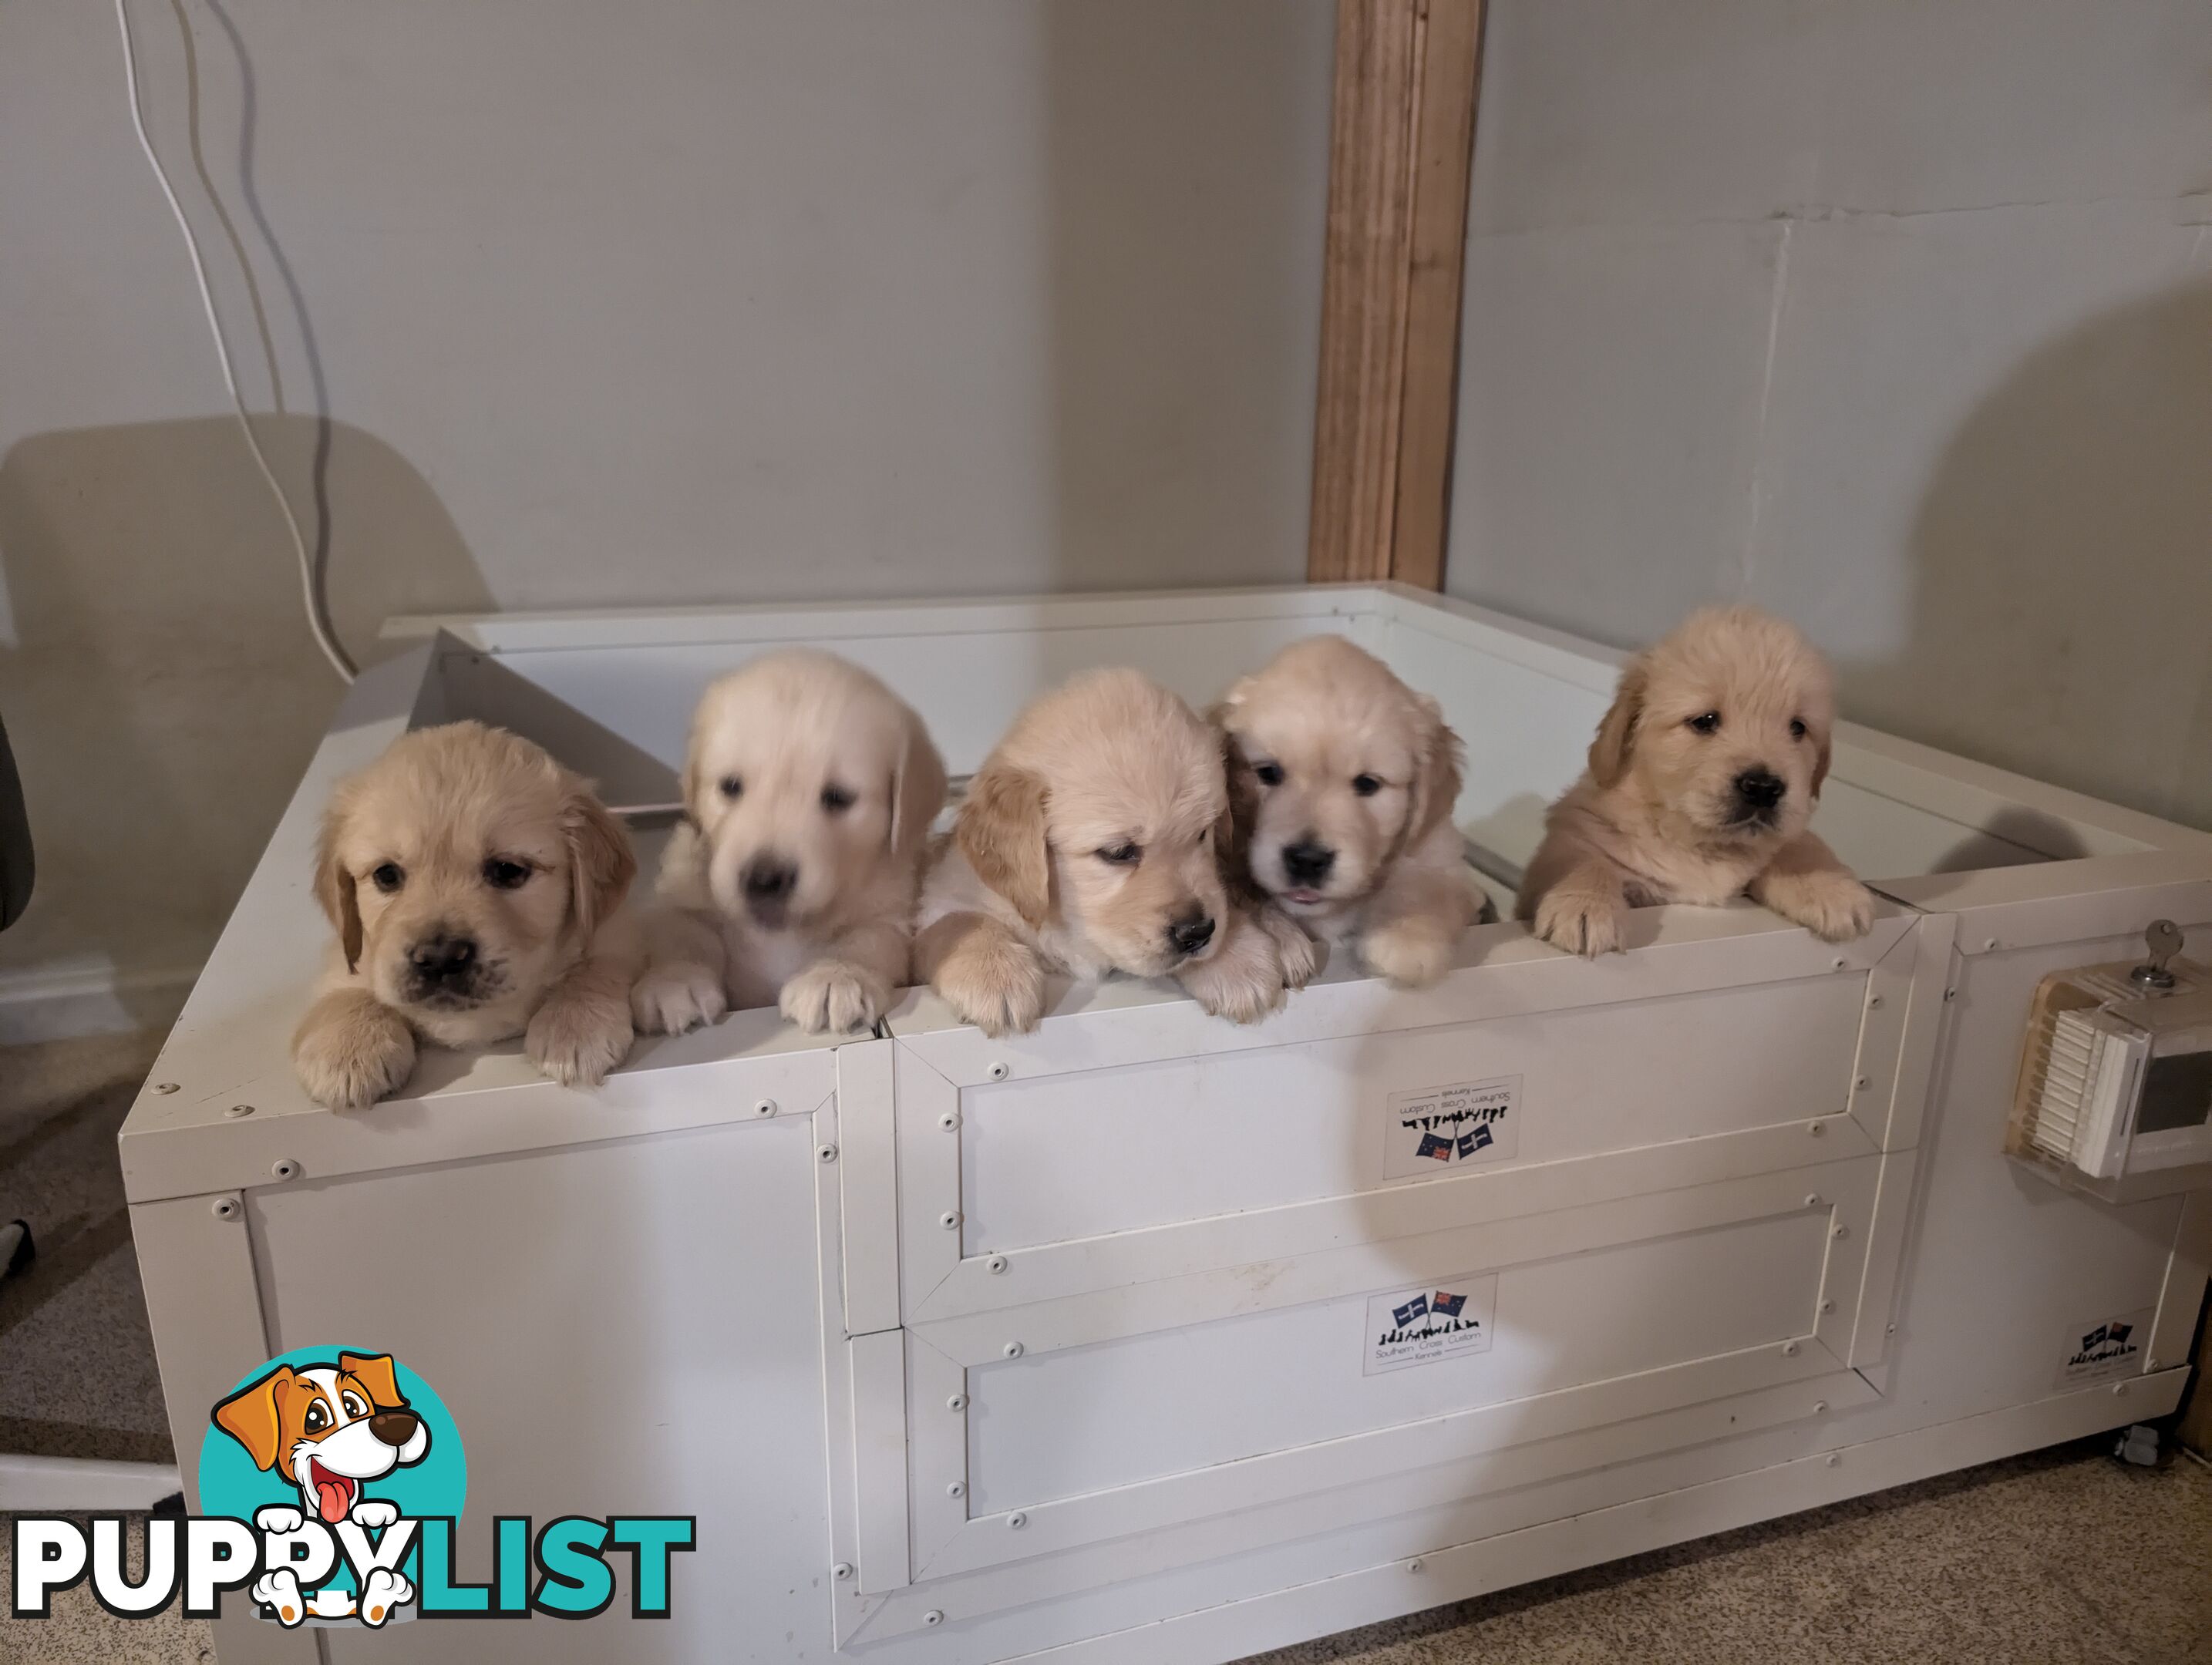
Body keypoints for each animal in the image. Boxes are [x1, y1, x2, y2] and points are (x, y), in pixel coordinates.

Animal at [294, 721, 641, 1110]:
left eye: (508, 871)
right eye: (387, 875)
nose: (439, 958)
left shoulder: (617, 930)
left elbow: (595, 964)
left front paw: (574, 1027)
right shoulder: (347, 953)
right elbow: (347, 986)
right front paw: (348, 1049)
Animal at [632, 645, 942, 1025]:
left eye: (838, 797)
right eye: (730, 786)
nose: (765, 879)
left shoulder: (889, 914)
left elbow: (864, 941)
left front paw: (834, 976)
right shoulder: (684, 899)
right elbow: (683, 934)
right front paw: (674, 982)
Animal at [915, 668, 1309, 1034]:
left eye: (1202, 834)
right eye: (1119, 852)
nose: (1197, 932)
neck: (1068, 924)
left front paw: (1236, 959)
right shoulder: (944, 893)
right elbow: (960, 920)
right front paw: (995, 977)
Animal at [1220, 627, 1477, 981]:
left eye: (1367, 784)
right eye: (1268, 773)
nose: (1307, 860)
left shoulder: (1439, 850)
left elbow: (1429, 884)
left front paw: (1405, 937)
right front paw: (1282, 938)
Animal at [1521, 605, 1867, 946]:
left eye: (1798, 727)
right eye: (1705, 721)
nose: (1763, 787)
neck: (1701, 844)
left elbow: (1796, 844)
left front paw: (1829, 887)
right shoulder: (1580, 832)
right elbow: (1584, 860)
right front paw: (1584, 904)